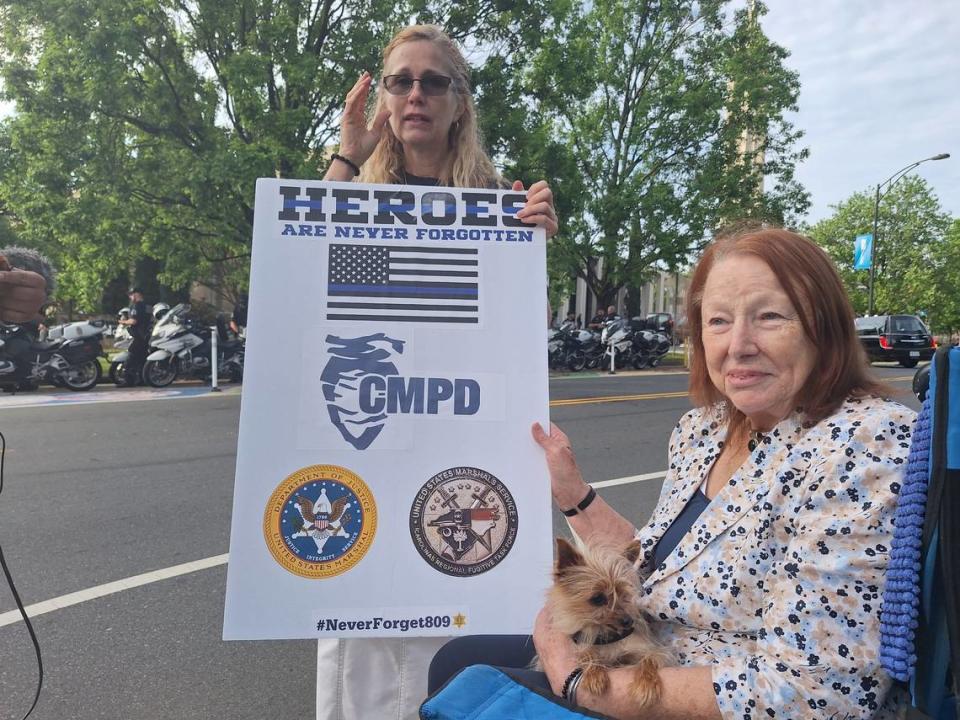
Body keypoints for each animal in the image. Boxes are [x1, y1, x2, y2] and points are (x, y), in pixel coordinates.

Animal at [544, 536, 672, 704]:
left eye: (624, 594)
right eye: (598, 598)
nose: (629, 621)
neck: (608, 636)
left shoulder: (648, 650)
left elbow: (649, 659)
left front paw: (647, 684)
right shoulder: (579, 644)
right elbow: (586, 654)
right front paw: (595, 674)